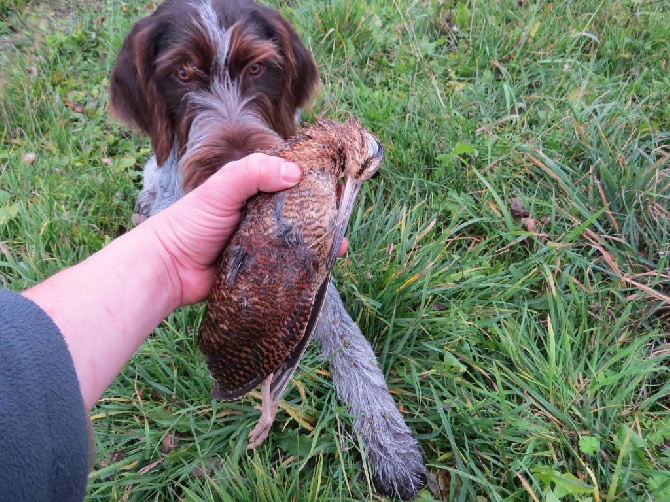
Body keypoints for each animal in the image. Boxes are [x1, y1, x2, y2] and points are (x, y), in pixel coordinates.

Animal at [109, 0, 426, 498]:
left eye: (258, 67)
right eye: (181, 74)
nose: (236, 164)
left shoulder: (316, 287)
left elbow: (351, 348)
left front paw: (389, 442)